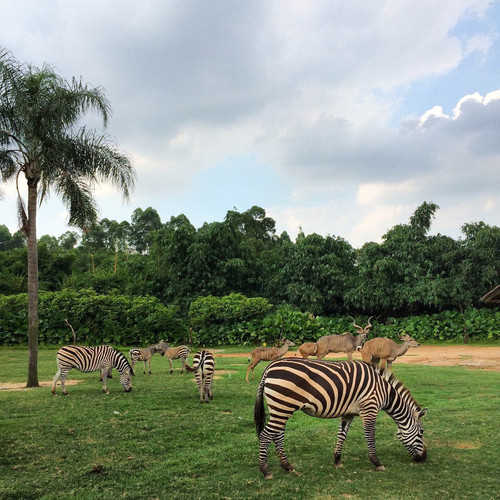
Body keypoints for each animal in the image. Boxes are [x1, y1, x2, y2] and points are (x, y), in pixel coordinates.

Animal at [256, 358, 428, 478]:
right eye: (422, 432)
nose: (424, 458)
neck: (385, 392)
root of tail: (269, 367)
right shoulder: (370, 409)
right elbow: (370, 436)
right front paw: (376, 462)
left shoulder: (348, 413)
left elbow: (342, 435)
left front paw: (337, 460)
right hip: (283, 407)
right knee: (265, 435)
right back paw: (265, 471)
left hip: (280, 408)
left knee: (277, 435)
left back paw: (287, 466)